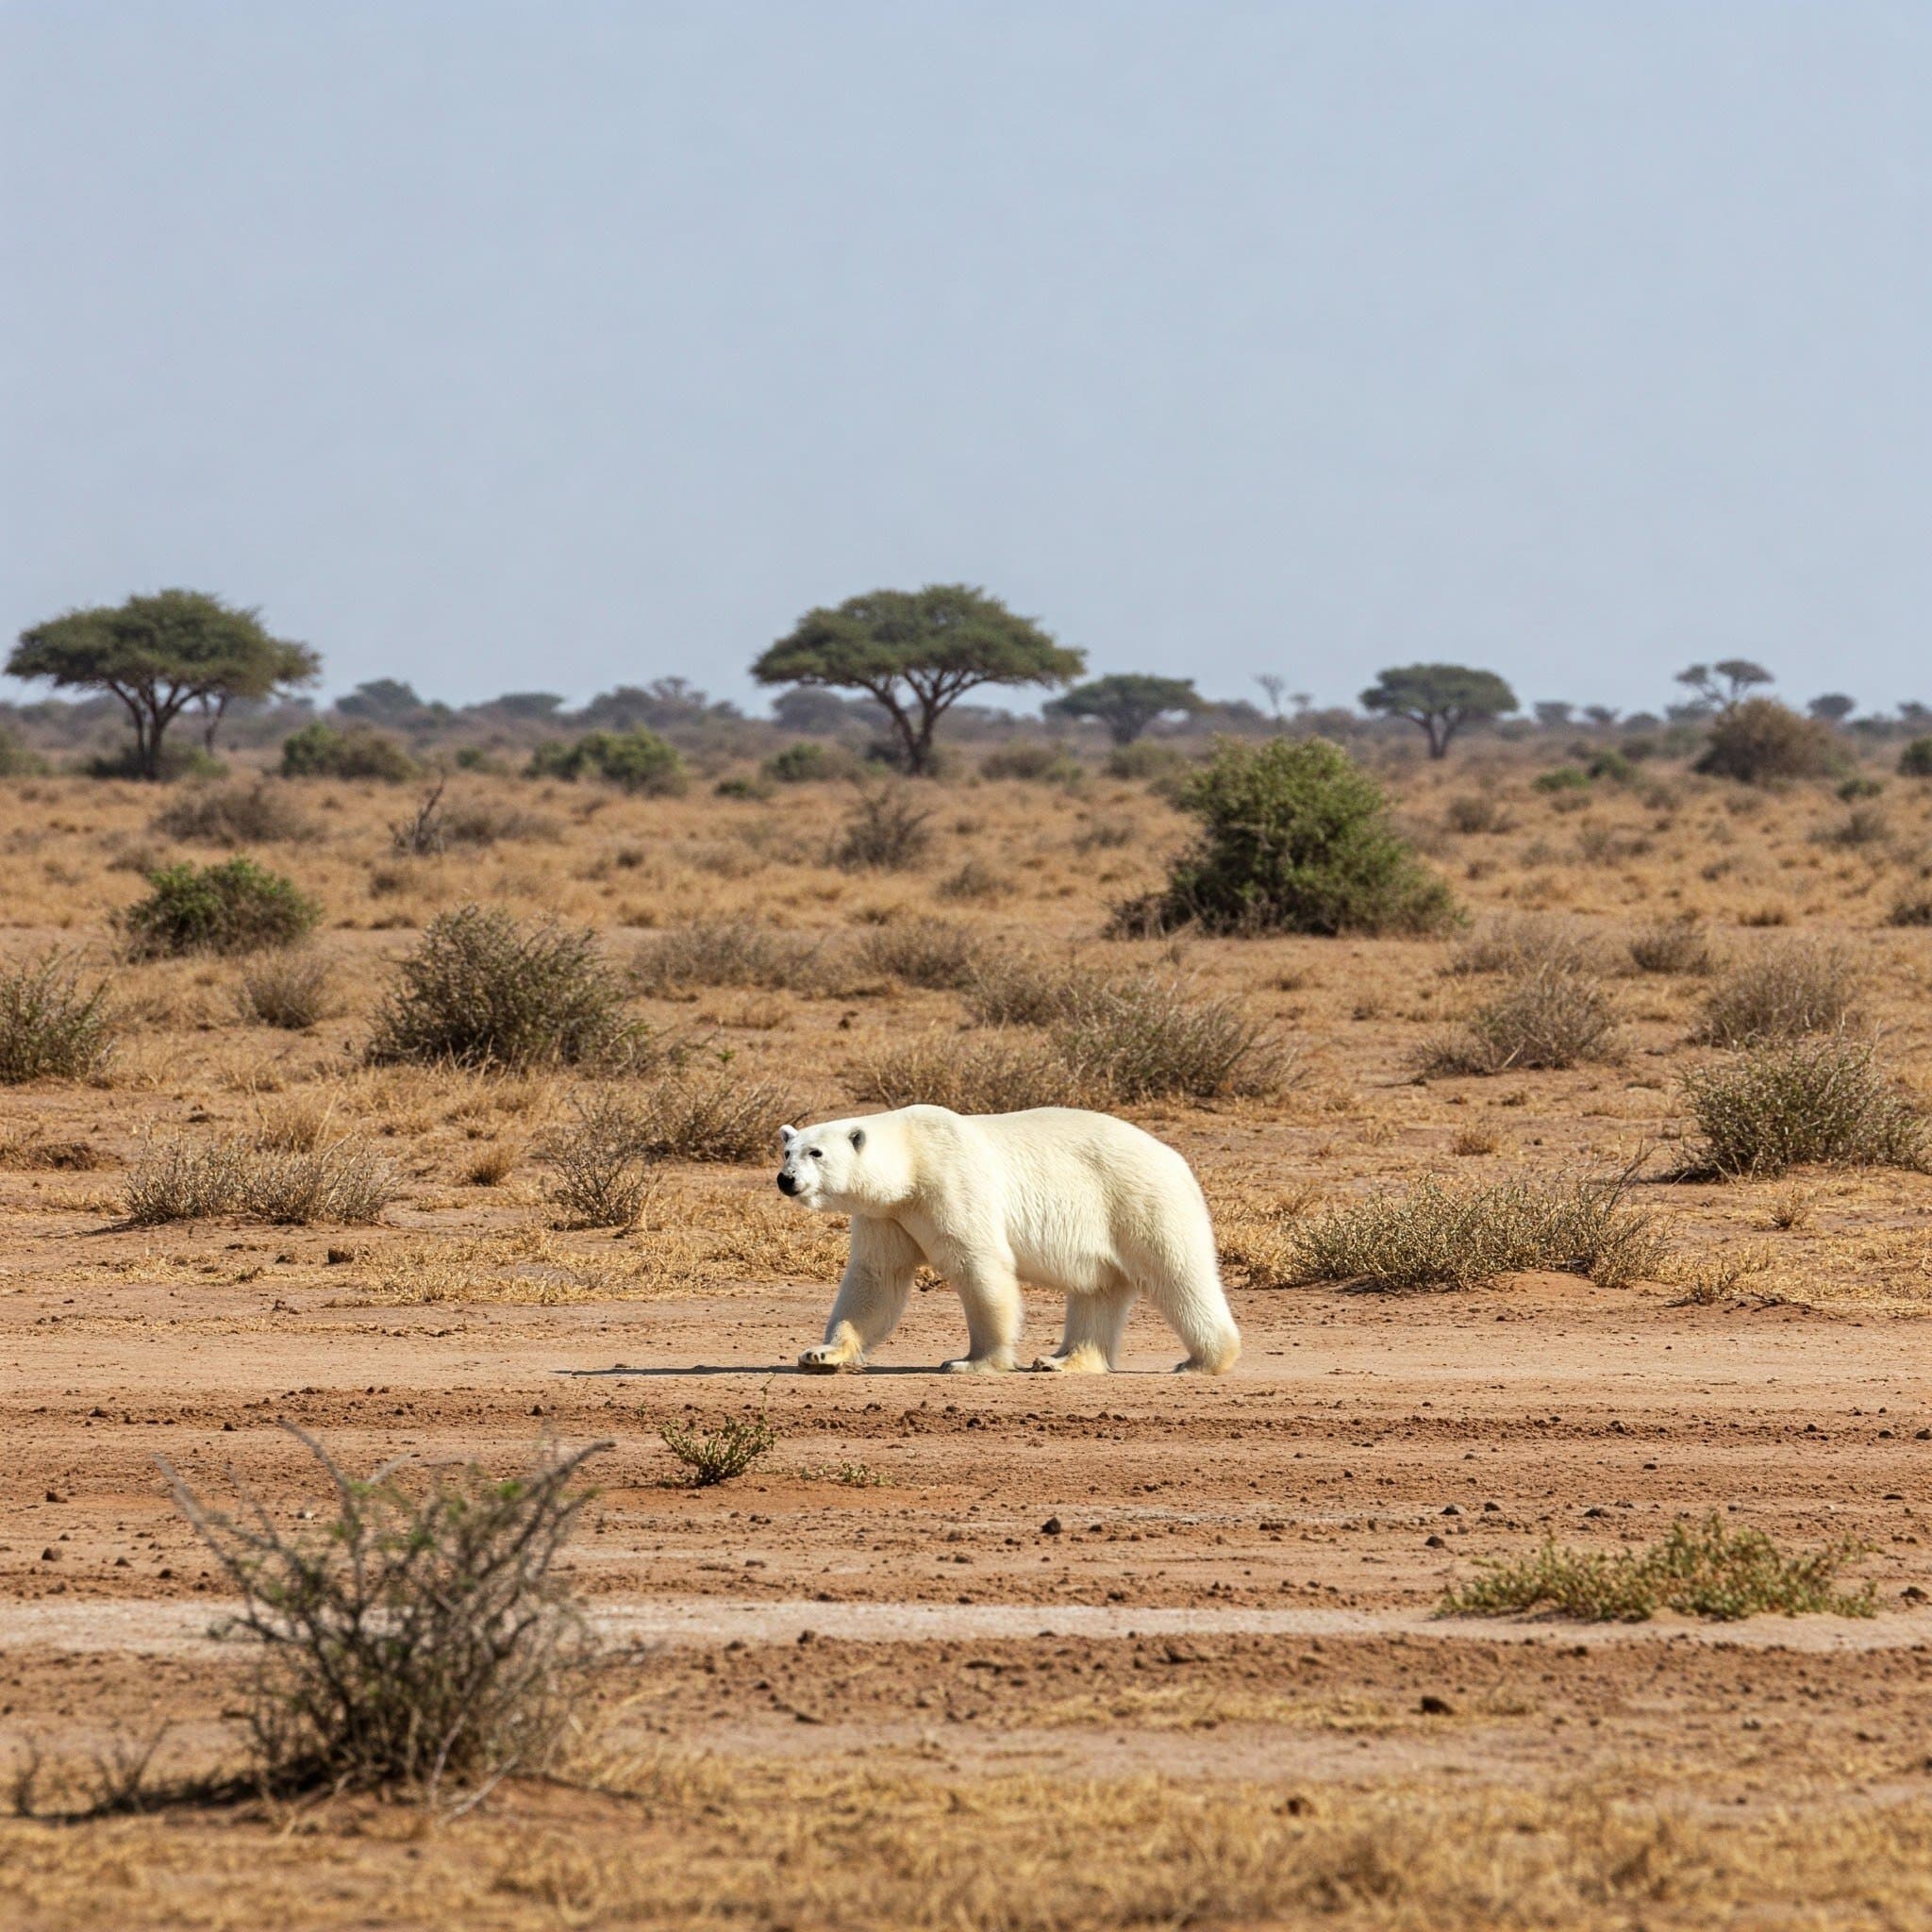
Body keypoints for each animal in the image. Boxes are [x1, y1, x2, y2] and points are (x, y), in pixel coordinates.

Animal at [780, 1105, 1243, 1375]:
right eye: (787, 1151)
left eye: (816, 1153)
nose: (786, 1180)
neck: (913, 1156)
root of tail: (1176, 1158)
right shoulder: (888, 1215)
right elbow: (876, 1278)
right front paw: (820, 1354)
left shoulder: (951, 1182)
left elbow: (979, 1265)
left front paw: (970, 1361)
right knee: (1098, 1290)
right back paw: (1061, 1360)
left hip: (1139, 1200)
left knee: (1178, 1274)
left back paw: (1201, 1362)